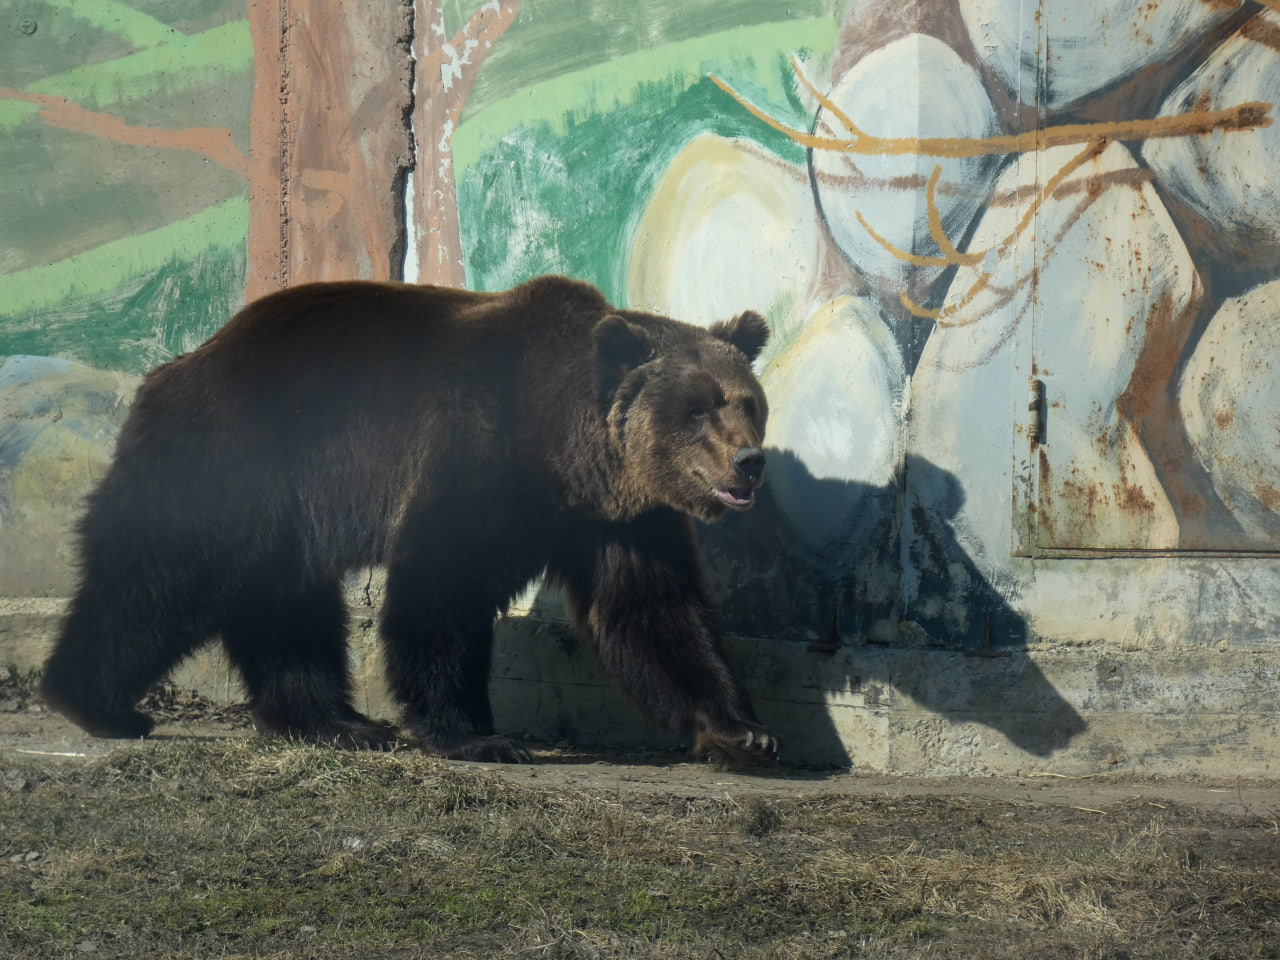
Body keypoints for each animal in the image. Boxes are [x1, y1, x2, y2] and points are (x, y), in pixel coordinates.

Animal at [40, 272, 773, 768]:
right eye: (698, 408)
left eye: (748, 403)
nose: (750, 463)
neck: (569, 450)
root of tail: (171, 367)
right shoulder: (480, 445)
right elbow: (442, 588)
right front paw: (476, 734)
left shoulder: (616, 518)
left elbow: (651, 610)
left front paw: (742, 730)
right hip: (235, 462)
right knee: (163, 579)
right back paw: (95, 702)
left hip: (283, 515)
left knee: (287, 608)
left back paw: (335, 722)